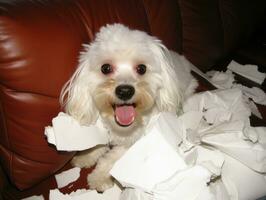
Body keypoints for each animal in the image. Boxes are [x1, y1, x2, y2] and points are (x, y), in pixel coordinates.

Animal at [60, 23, 197, 192]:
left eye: (142, 68)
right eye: (105, 68)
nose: (125, 91)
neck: (121, 128)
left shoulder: (135, 140)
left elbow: (112, 158)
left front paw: (99, 177)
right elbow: (98, 143)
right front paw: (86, 156)